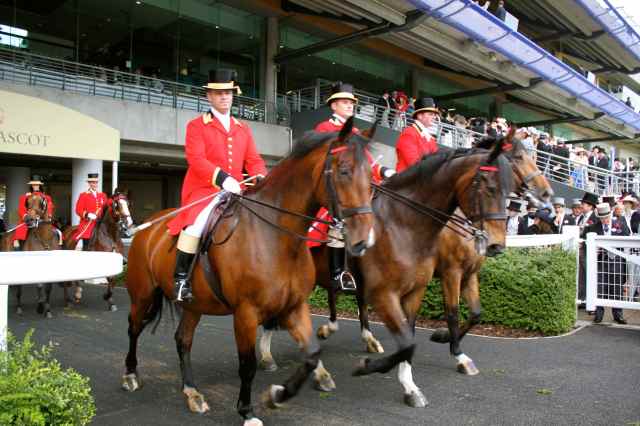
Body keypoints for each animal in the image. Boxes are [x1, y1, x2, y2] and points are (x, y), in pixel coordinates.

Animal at [122, 119, 376, 426]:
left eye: (370, 175)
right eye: (344, 170)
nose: (364, 240)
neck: (276, 236)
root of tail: (148, 225)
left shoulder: (294, 307)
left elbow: (312, 353)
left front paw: (279, 394)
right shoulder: (246, 313)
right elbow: (248, 364)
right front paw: (247, 410)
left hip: (194, 305)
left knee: (183, 340)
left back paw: (192, 392)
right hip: (142, 295)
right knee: (133, 328)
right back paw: (131, 375)